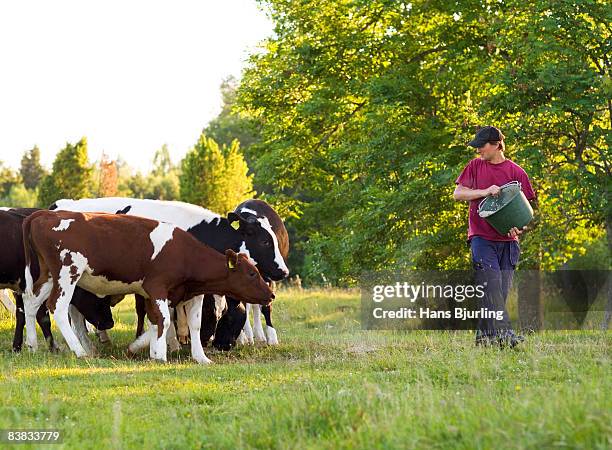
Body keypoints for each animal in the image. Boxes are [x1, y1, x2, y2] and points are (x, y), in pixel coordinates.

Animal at [22, 210, 274, 362]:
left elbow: (185, 323)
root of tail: (45, 214)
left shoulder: (188, 294)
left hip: (49, 276)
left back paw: (32, 345)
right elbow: (163, 320)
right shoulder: (157, 288)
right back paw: (80, 351)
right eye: (252, 273)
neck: (185, 254)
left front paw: (199, 357)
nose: (271, 295)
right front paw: (159, 355)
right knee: (57, 308)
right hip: (68, 274)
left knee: (31, 302)